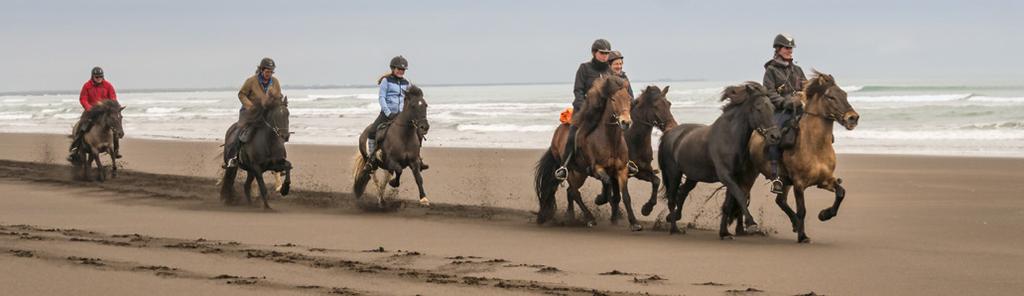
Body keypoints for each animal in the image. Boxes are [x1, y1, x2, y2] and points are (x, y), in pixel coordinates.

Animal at [532, 74, 634, 229]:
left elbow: (625, 196)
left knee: (571, 192)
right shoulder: (597, 168)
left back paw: (571, 216)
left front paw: (634, 223)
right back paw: (589, 218)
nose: (625, 122)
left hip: (579, 173)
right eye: (613, 99)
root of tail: (557, 132)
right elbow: (607, 183)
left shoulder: (621, 170)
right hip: (570, 171)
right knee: (574, 192)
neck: (610, 141)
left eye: (629, 99)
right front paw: (601, 199)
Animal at [659, 81, 778, 238]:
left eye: (772, 108)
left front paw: (724, 233)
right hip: (674, 173)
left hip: (692, 176)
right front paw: (751, 223)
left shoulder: (735, 177)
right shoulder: (726, 176)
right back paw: (674, 229)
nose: (775, 136)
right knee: (672, 198)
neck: (729, 137)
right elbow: (740, 196)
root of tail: (669, 134)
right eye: (758, 108)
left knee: (682, 192)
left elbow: (728, 204)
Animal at [749, 71, 860, 241]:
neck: (815, 146)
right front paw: (803, 237)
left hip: (784, 181)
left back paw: (794, 223)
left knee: (780, 201)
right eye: (830, 97)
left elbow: (841, 192)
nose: (852, 118)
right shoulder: (799, 184)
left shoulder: (825, 180)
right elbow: (802, 210)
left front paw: (824, 214)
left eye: (845, 94)